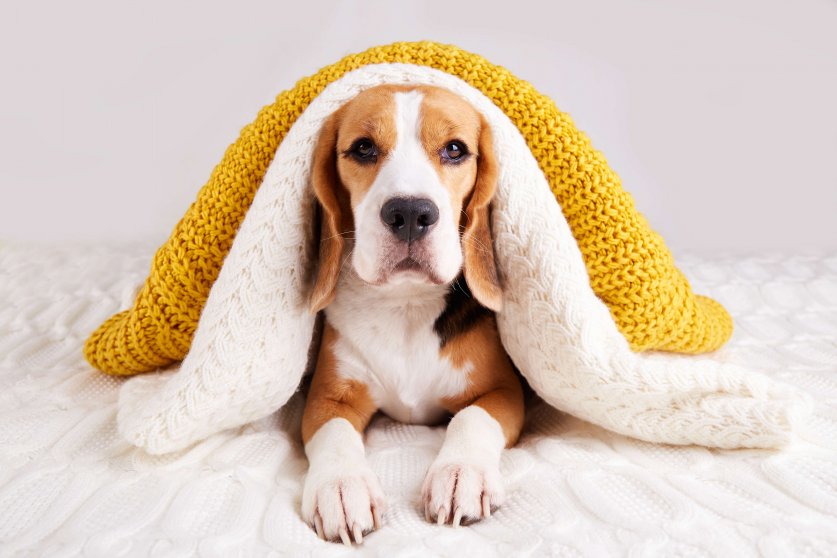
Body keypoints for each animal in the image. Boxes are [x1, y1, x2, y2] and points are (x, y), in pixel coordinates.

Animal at [300, 84, 524, 548]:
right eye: (363, 148)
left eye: (455, 149)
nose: (408, 214)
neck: (405, 304)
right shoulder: (326, 397)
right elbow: (335, 432)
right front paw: (341, 487)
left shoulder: (505, 390)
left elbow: (472, 418)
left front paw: (460, 474)